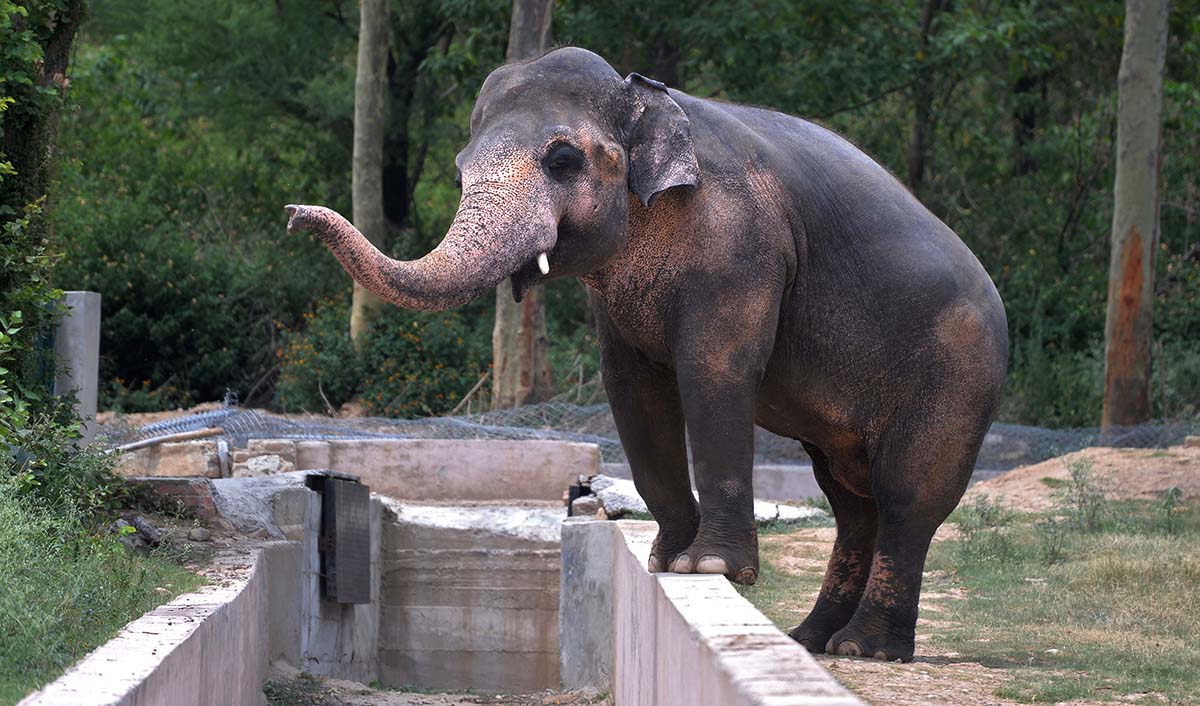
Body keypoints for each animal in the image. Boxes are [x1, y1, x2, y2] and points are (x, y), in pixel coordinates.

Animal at [285, 45, 1008, 662]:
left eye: (563, 160)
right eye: (460, 173)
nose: (294, 214)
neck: (644, 99)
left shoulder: (739, 245)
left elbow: (715, 372)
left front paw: (710, 567)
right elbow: (631, 387)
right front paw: (667, 561)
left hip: (956, 376)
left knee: (906, 497)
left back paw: (864, 649)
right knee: (851, 501)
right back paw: (813, 640)